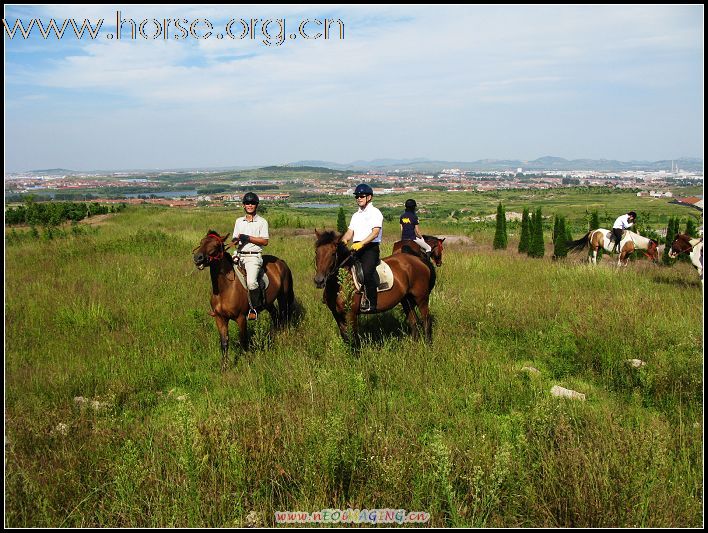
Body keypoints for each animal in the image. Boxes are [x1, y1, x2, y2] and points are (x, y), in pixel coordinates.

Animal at [192, 229, 294, 370]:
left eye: (216, 245)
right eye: (202, 242)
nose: (198, 258)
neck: (225, 288)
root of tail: (281, 262)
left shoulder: (241, 318)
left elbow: (243, 341)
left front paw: (247, 363)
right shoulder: (220, 318)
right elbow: (224, 343)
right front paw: (224, 367)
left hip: (282, 297)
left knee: (283, 317)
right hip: (268, 303)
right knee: (275, 316)